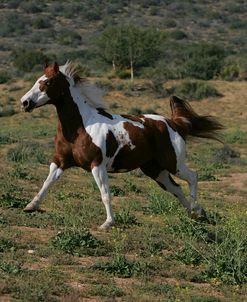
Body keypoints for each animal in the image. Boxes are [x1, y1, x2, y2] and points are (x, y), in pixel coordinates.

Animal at [20, 63, 223, 229]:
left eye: (47, 82)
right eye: (37, 80)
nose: (25, 102)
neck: (81, 126)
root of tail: (174, 123)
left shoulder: (97, 166)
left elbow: (105, 194)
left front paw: (108, 223)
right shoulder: (60, 161)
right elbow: (47, 183)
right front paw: (31, 206)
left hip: (173, 163)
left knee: (192, 177)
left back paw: (197, 210)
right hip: (155, 170)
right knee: (177, 189)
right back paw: (195, 215)